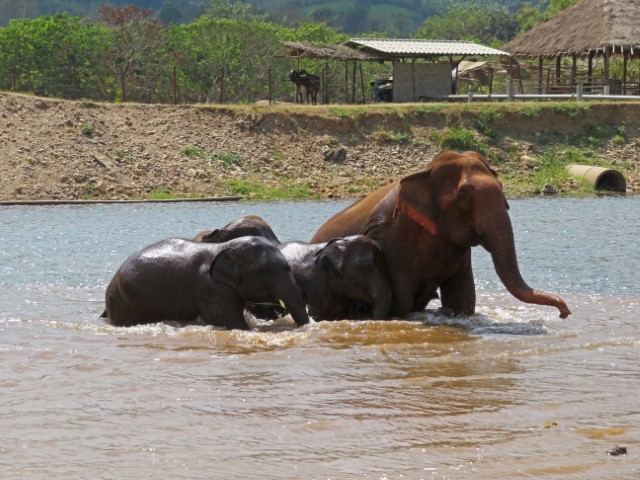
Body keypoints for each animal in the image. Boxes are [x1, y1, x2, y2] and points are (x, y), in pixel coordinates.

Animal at [310, 150, 568, 318]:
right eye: (463, 196)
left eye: (502, 189)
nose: (565, 312)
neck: (425, 171)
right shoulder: (390, 242)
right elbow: (399, 303)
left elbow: (462, 299)